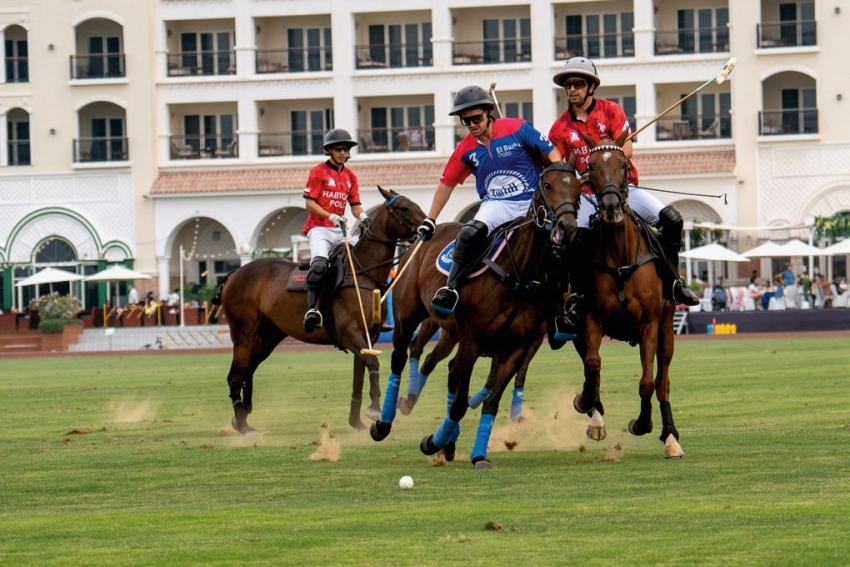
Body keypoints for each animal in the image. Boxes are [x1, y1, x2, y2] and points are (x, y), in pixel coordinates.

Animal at [214, 186, 422, 434]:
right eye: (404, 207)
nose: (429, 226)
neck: (363, 272)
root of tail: (233, 274)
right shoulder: (349, 333)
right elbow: (373, 364)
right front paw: (373, 411)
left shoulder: (368, 337)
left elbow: (359, 377)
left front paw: (357, 422)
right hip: (243, 334)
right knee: (235, 376)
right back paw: (244, 427)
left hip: (267, 337)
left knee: (246, 371)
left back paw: (241, 419)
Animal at [368, 161, 580, 470]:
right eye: (548, 185)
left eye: (578, 186)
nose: (567, 227)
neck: (518, 276)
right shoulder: (472, 341)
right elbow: (459, 403)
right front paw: (433, 441)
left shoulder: (517, 348)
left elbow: (490, 399)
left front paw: (476, 453)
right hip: (408, 317)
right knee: (401, 357)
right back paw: (384, 423)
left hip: (451, 330)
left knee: (447, 368)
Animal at [568, 131, 684, 460]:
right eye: (590, 166)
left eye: (623, 165)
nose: (610, 207)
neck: (620, 259)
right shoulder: (590, 319)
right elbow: (593, 365)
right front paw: (586, 403)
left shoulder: (649, 324)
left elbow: (647, 382)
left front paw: (642, 424)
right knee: (590, 365)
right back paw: (594, 416)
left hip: (667, 327)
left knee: (663, 380)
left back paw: (671, 438)